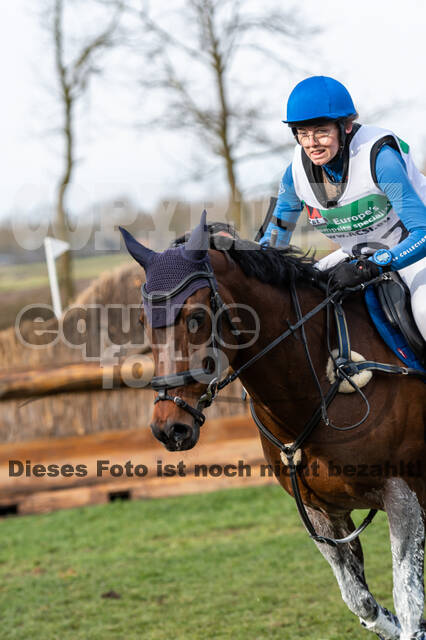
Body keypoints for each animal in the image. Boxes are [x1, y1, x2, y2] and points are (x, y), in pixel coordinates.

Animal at [120, 215, 426, 640]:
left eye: (196, 317)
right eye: (143, 321)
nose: (169, 428)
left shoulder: (404, 496)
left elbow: (409, 603)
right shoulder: (322, 512)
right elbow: (361, 600)